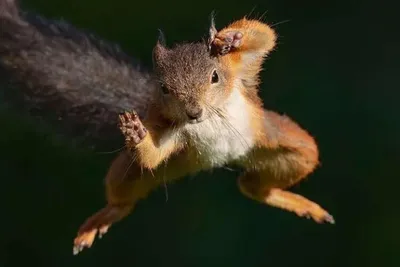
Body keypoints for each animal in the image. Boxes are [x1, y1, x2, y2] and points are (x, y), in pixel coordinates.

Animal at [0, 0, 334, 256]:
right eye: (163, 88)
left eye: (215, 77)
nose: (194, 112)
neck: (209, 118)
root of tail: (218, 161)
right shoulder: (174, 133)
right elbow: (153, 154)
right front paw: (136, 135)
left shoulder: (241, 70)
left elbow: (265, 36)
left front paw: (229, 38)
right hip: (145, 169)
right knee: (131, 191)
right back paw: (106, 216)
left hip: (284, 145)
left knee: (260, 183)